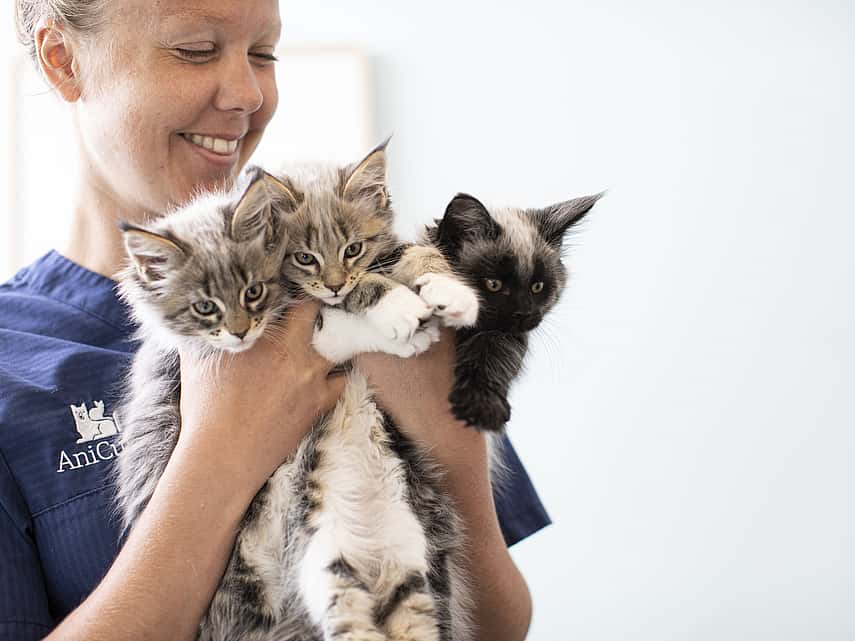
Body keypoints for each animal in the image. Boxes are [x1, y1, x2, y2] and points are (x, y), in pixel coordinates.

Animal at [426, 190, 600, 430]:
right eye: (493, 284)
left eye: (538, 287)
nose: (524, 313)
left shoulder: (508, 336)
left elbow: (495, 353)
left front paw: (482, 403)